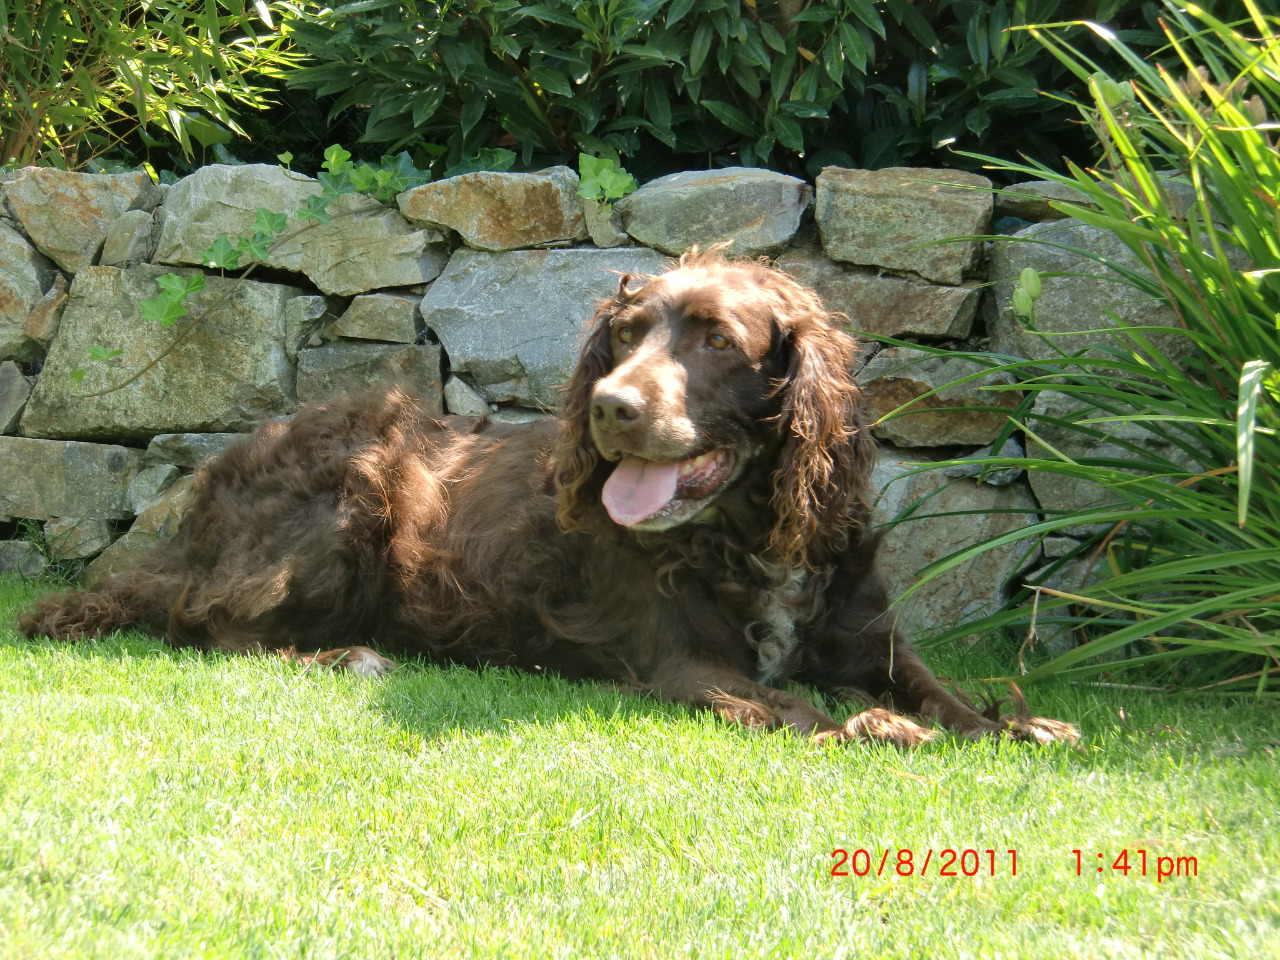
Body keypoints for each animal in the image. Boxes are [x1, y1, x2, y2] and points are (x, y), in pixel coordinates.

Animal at [19, 250, 1077, 747]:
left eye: (718, 342)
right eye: (625, 338)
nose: (612, 407)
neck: (747, 534)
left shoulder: (866, 632)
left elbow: (940, 692)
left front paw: (1019, 726)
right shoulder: (682, 665)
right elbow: (799, 710)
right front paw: (876, 728)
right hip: (353, 491)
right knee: (215, 627)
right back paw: (348, 654)